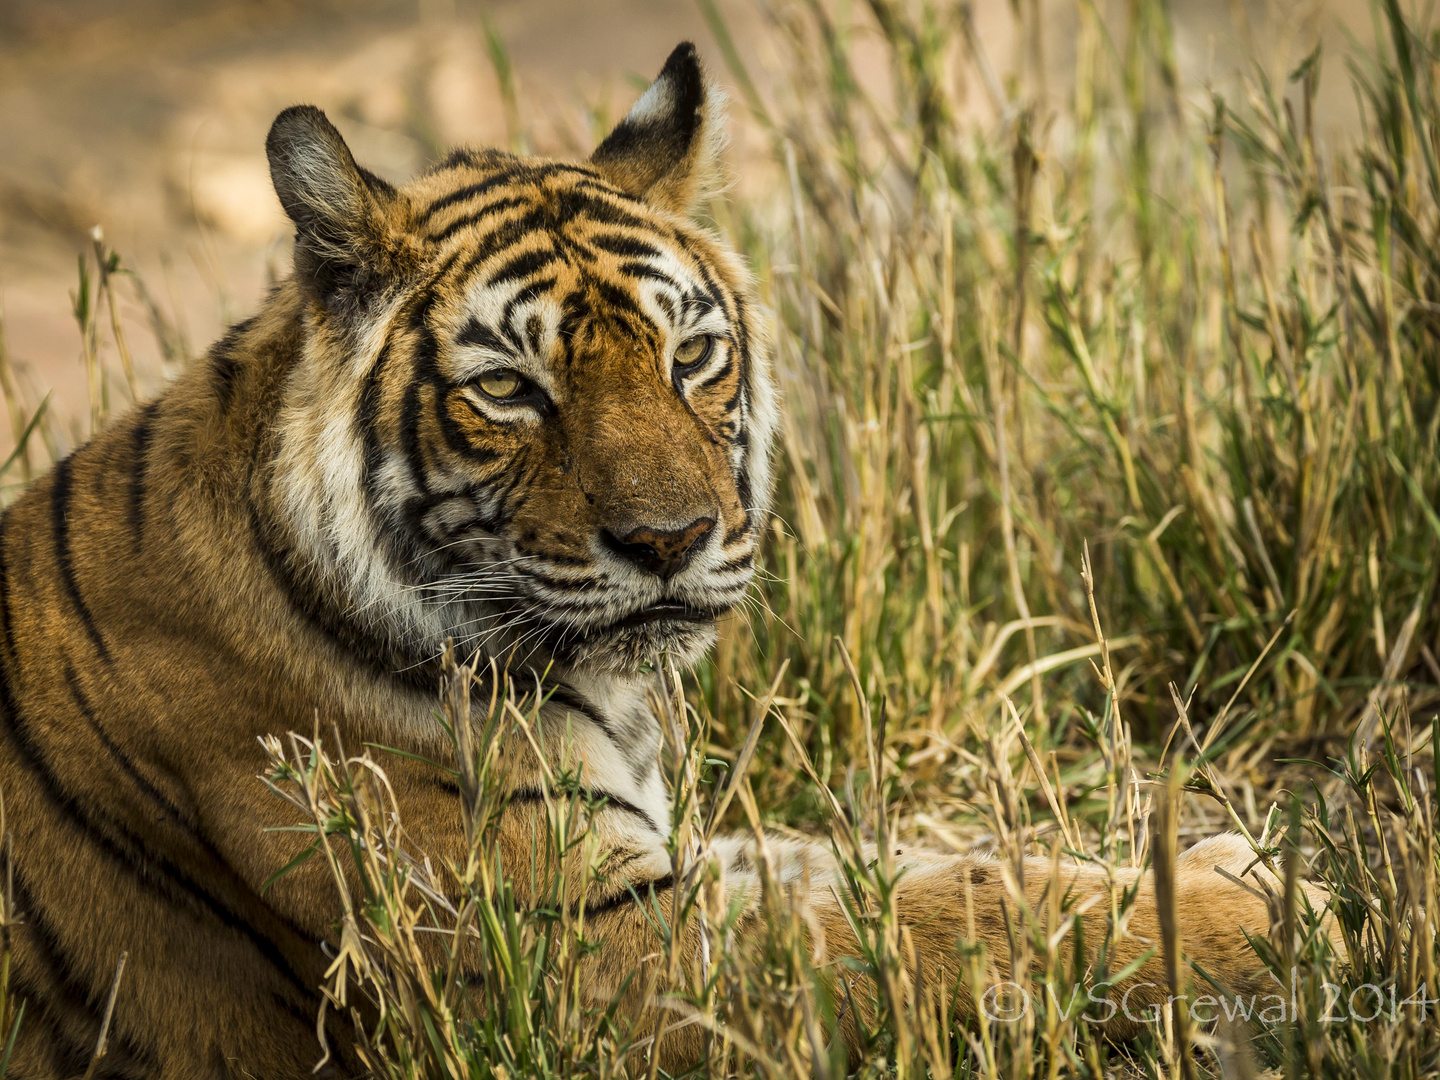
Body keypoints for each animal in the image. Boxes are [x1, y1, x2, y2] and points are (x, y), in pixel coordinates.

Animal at [0, 42, 1330, 1080]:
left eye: (690, 356)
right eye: (508, 389)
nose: (671, 541)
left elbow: (917, 864)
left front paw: (1221, 857)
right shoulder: (611, 957)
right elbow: (953, 925)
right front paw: (1275, 915)